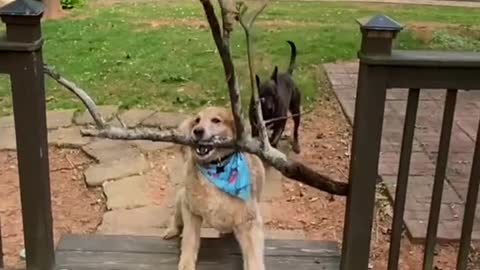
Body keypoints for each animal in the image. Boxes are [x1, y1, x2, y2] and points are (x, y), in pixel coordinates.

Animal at [162, 106, 266, 270]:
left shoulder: (249, 221)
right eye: (197, 120)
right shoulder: (190, 209)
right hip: (181, 198)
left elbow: (254, 257)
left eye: (216, 120)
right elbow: (189, 239)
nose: (197, 131)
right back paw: (172, 230)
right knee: (176, 218)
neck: (217, 168)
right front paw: (186, 263)